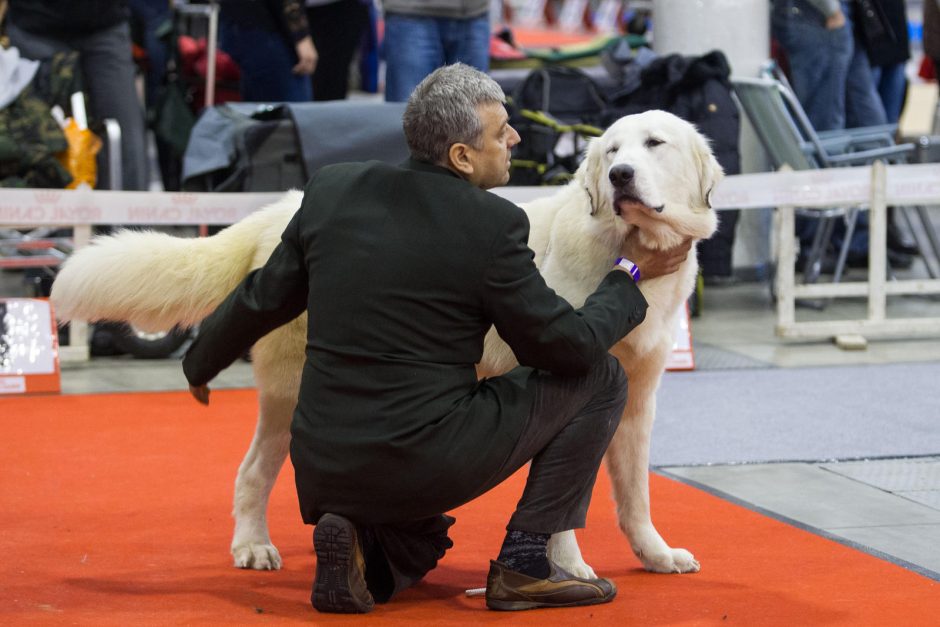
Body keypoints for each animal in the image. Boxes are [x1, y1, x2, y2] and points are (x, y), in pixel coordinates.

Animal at [51, 110, 720, 580]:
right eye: (612, 151)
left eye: (654, 145)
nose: (619, 176)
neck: (628, 253)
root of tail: (277, 211)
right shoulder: (578, 366)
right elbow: (565, 499)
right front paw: (570, 566)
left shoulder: (638, 401)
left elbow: (634, 495)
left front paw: (655, 555)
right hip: (288, 396)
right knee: (252, 471)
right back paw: (253, 546)